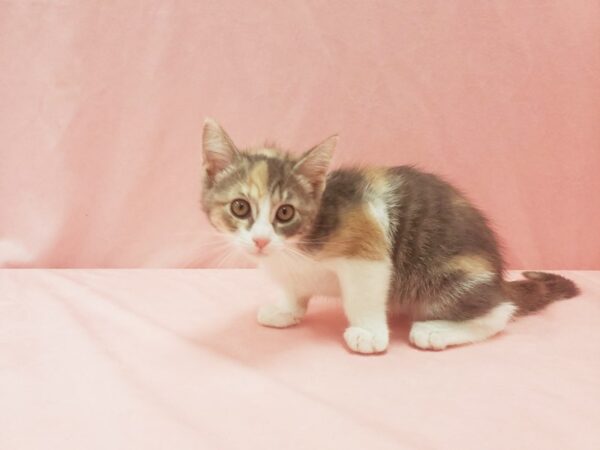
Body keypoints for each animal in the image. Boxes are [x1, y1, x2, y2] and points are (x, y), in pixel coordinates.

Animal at [200, 118, 576, 356]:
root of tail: (497, 278)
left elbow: (363, 294)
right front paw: (287, 310)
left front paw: (369, 333)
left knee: (500, 312)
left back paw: (437, 330)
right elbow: (294, 289)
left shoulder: (367, 238)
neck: (294, 247)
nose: (261, 241)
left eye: (285, 213)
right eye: (240, 207)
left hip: (445, 273)